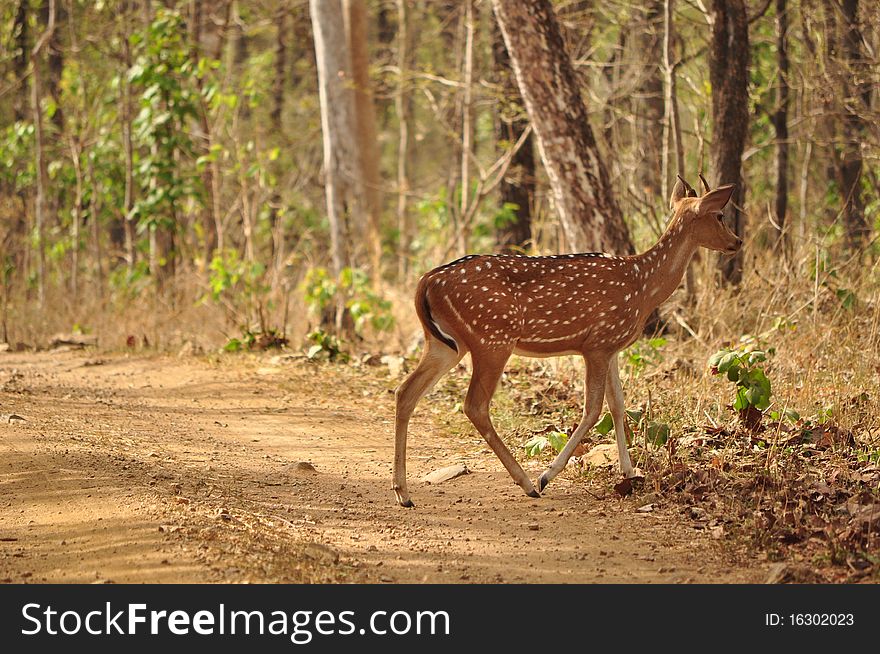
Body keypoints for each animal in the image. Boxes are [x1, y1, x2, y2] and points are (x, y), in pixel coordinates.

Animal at [394, 177, 744, 510]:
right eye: (720, 215)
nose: (737, 242)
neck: (643, 287)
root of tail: (426, 282)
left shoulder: (612, 346)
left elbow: (618, 406)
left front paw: (630, 472)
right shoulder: (597, 344)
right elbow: (593, 409)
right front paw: (548, 474)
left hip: (445, 344)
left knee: (405, 392)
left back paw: (403, 493)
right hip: (492, 338)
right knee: (474, 405)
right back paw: (527, 483)